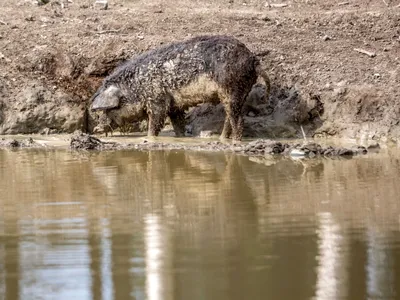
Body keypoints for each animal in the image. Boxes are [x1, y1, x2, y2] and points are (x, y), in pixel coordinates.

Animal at [90, 34, 270, 141]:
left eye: (108, 109)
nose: (97, 128)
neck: (136, 87)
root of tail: (253, 59)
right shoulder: (174, 105)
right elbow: (178, 124)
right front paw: (181, 137)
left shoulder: (157, 100)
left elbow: (154, 123)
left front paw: (149, 138)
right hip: (239, 92)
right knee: (230, 118)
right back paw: (222, 139)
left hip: (230, 87)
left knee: (238, 120)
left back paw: (234, 142)